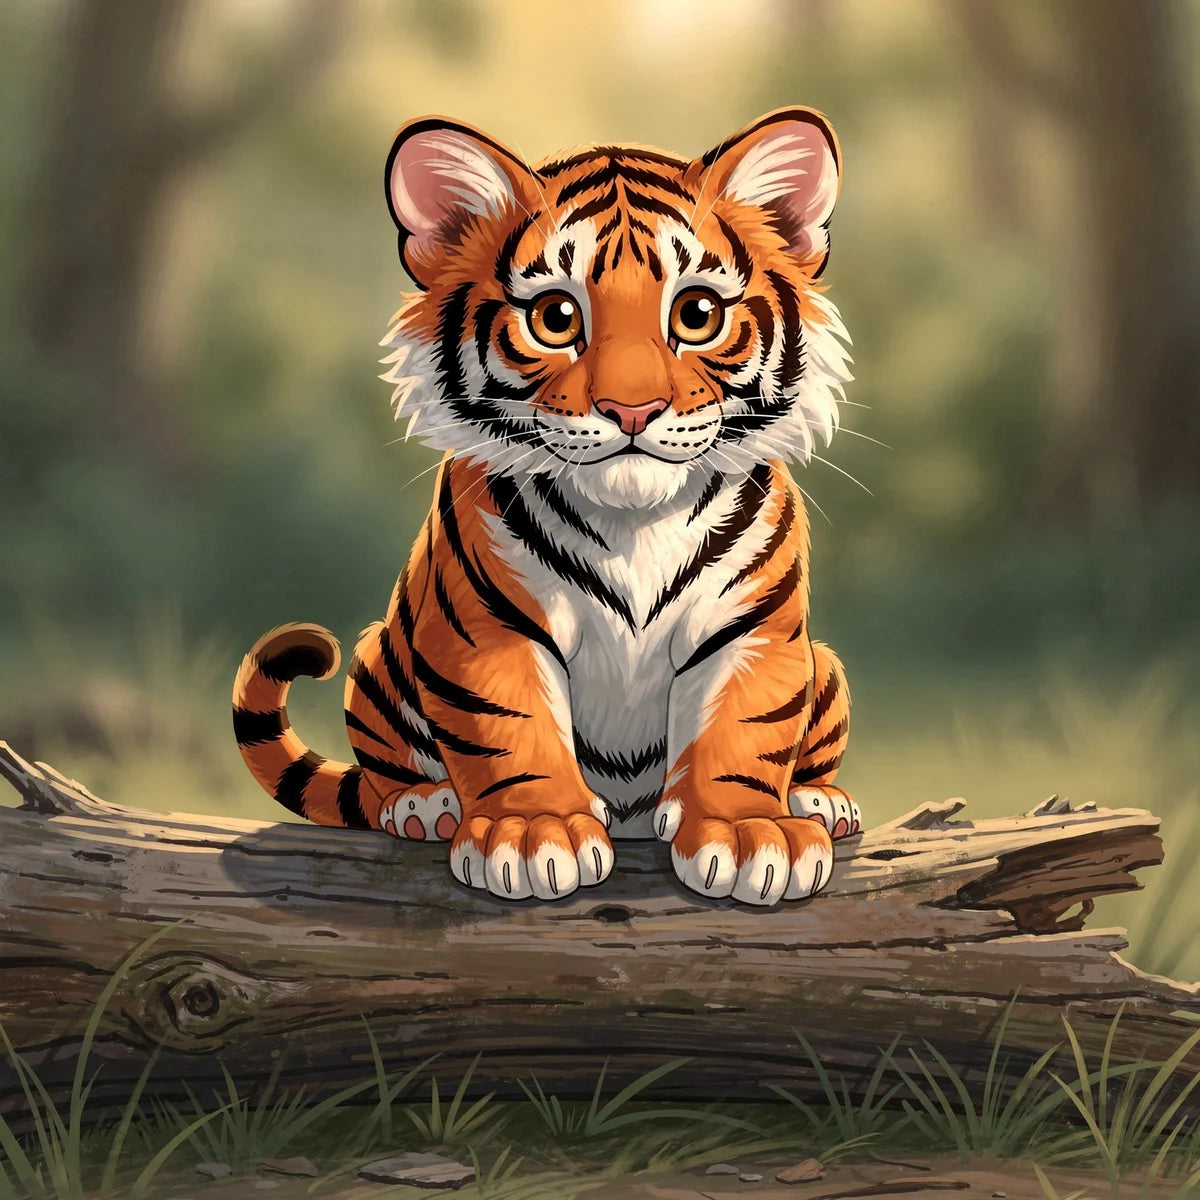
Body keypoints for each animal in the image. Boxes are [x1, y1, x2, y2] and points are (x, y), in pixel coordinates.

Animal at [233, 106, 859, 906]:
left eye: (697, 313)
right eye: (556, 317)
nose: (632, 409)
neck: (634, 523)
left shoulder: (751, 632)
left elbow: (744, 728)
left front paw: (751, 835)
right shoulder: (488, 632)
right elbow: (509, 728)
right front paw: (535, 836)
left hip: (826, 662)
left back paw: (821, 801)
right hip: (377, 660)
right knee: (380, 782)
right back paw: (423, 805)